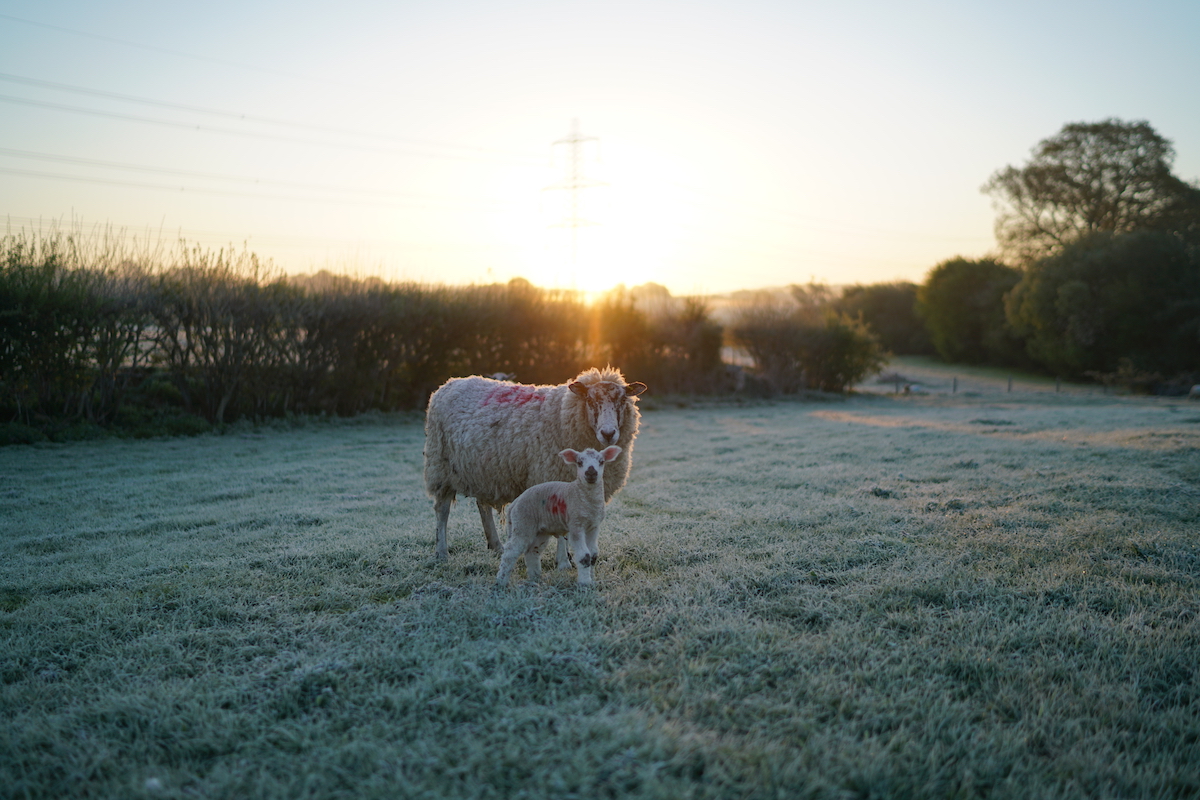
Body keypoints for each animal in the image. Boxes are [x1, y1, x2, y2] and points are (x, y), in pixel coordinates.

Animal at [422, 367, 648, 561]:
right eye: (590, 400)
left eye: (622, 399)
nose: (608, 433)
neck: (563, 415)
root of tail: (450, 383)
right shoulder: (553, 479)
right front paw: (565, 560)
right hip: (440, 466)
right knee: (442, 510)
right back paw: (441, 553)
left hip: (483, 470)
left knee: (482, 506)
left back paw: (496, 546)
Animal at [494, 448, 619, 585]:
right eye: (579, 462)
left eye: (601, 461)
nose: (591, 472)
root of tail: (514, 503)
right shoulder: (576, 525)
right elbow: (584, 556)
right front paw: (585, 583)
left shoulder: (593, 526)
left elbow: (593, 555)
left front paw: (592, 580)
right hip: (523, 522)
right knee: (510, 552)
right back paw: (501, 581)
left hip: (541, 530)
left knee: (532, 550)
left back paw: (536, 578)